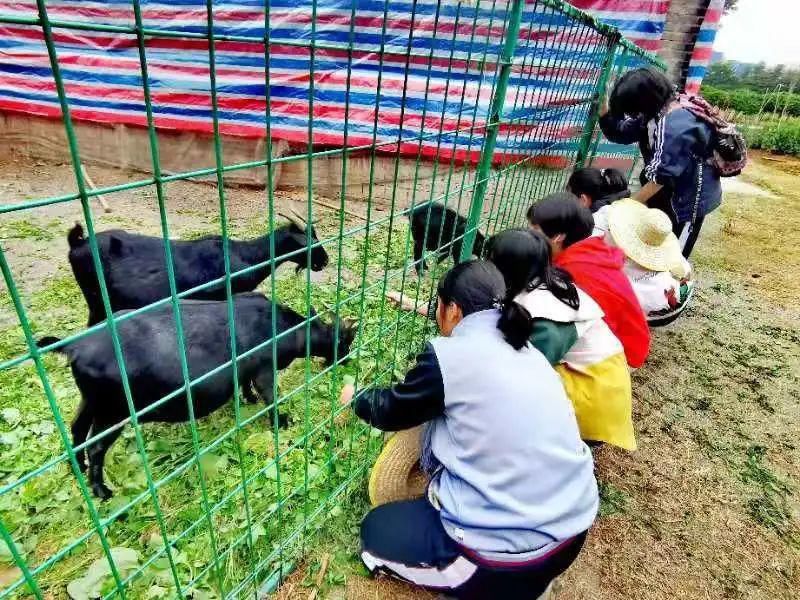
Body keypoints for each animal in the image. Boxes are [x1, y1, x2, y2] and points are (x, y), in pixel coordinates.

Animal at [39, 292, 354, 500]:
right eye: (344, 340)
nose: (348, 359)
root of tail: (76, 345)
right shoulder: (265, 368)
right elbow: (270, 396)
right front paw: (283, 421)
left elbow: (245, 385)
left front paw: (248, 399)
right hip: (113, 410)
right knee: (96, 447)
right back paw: (101, 490)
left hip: (91, 401)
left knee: (77, 428)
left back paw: (77, 467)